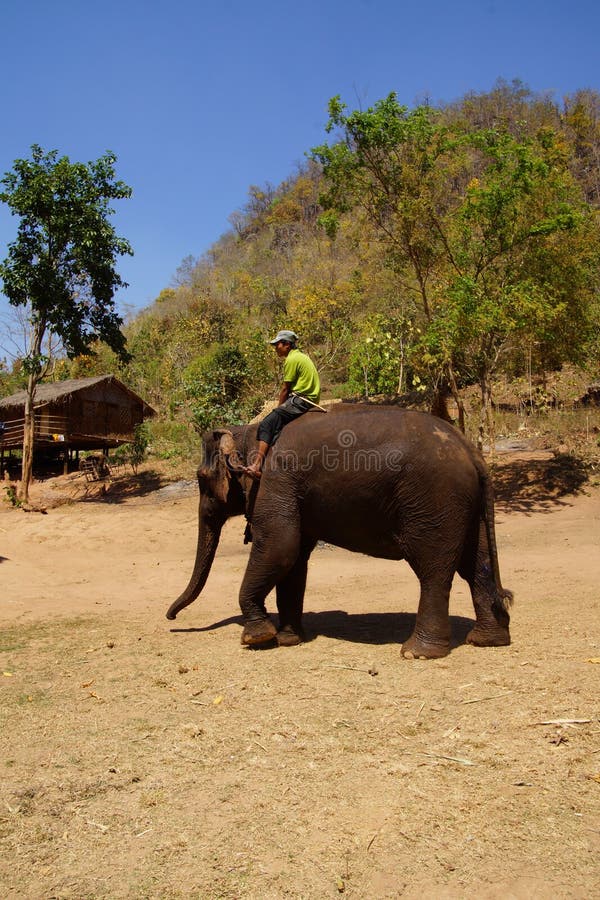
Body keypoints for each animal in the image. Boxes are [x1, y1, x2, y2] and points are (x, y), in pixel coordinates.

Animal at [166, 406, 512, 659]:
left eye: (201, 478)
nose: (171, 619)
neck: (247, 433)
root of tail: (473, 452)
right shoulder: (292, 493)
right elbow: (293, 561)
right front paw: (288, 639)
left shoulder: (274, 482)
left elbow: (279, 548)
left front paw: (257, 637)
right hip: (465, 507)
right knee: (475, 565)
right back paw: (486, 641)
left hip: (434, 502)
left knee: (433, 570)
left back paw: (417, 653)